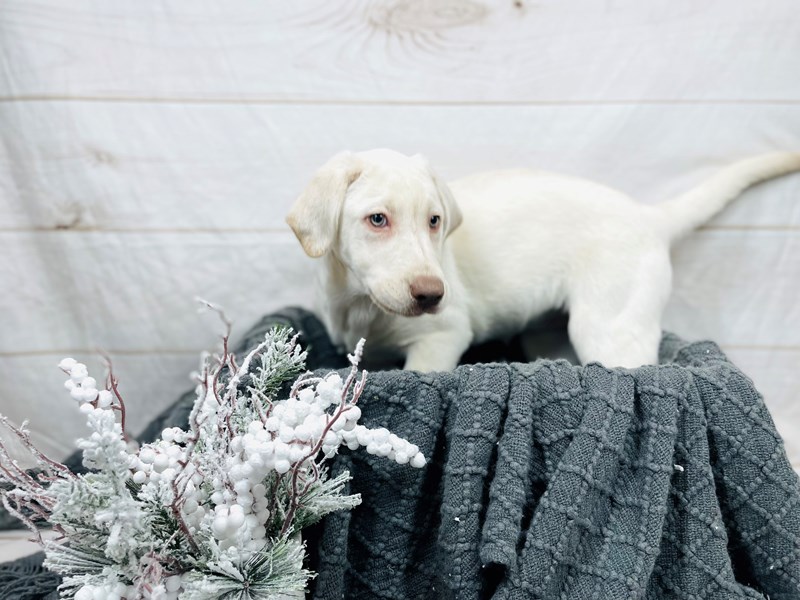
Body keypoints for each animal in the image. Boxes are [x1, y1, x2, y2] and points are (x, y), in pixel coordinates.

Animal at [287, 149, 800, 371]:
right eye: (378, 219)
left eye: (434, 221)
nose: (432, 295)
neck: (360, 301)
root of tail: (648, 215)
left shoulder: (441, 338)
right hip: (548, 336)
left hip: (611, 329)